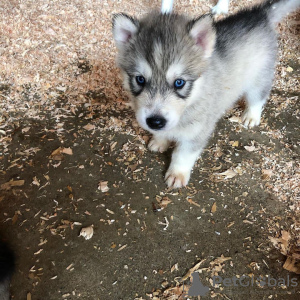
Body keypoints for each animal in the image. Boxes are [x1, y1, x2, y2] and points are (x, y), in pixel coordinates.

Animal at [113, 0, 300, 188]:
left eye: (179, 82)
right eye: (140, 79)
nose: (155, 122)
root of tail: (259, 14)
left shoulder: (197, 132)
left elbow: (183, 155)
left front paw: (177, 174)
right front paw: (159, 141)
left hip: (258, 79)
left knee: (258, 98)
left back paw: (251, 116)